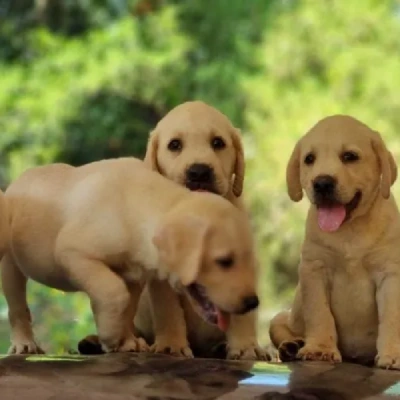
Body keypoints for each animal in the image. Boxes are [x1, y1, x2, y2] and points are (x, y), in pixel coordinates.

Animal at [1, 156, 260, 354]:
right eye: (224, 262)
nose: (253, 303)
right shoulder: (73, 252)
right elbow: (114, 292)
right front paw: (110, 336)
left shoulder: (134, 274)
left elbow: (128, 306)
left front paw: (126, 341)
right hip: (11, 266)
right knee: (17, 308)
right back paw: (25, 345)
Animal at [77, 100, 268, 360]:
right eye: (175, 145)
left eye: (218, 143)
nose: (199, 171)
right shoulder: (161, 270)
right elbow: (168, 309)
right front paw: (171, 345)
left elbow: (242, 309)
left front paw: (246, 346)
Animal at [268, 114, 400, 370]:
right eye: (309, 159)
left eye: (349, 156)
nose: (322, 183)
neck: (349, 231)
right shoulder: (314, 269)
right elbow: (319, 314)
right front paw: (320, 349)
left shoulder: (390, 274)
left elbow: (392, 317)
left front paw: (394, 355)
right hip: (280, 318)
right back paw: (291, 347)